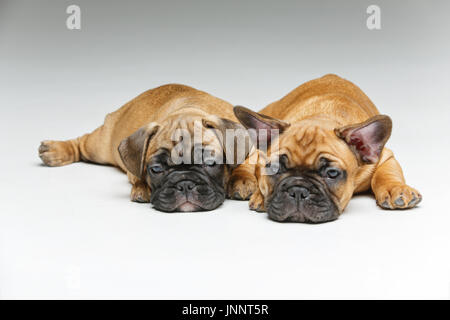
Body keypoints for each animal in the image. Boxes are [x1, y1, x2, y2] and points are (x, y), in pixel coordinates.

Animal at [37, 84, 253, 211]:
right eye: (156, 169)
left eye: (210, 164)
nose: (184, 184)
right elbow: (137, 174)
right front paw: (142, 188)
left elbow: (244, 163)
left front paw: (241, 180)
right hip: (100, 146)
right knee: (82, 142)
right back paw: (55, 150)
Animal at [234, 74, 420, 222]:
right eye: (275, 169)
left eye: (332, 173)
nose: (298, 191)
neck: (323, 118)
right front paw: (260, 195)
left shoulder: (384, 157)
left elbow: (388, 173)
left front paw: (396, 189)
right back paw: (242, 182)